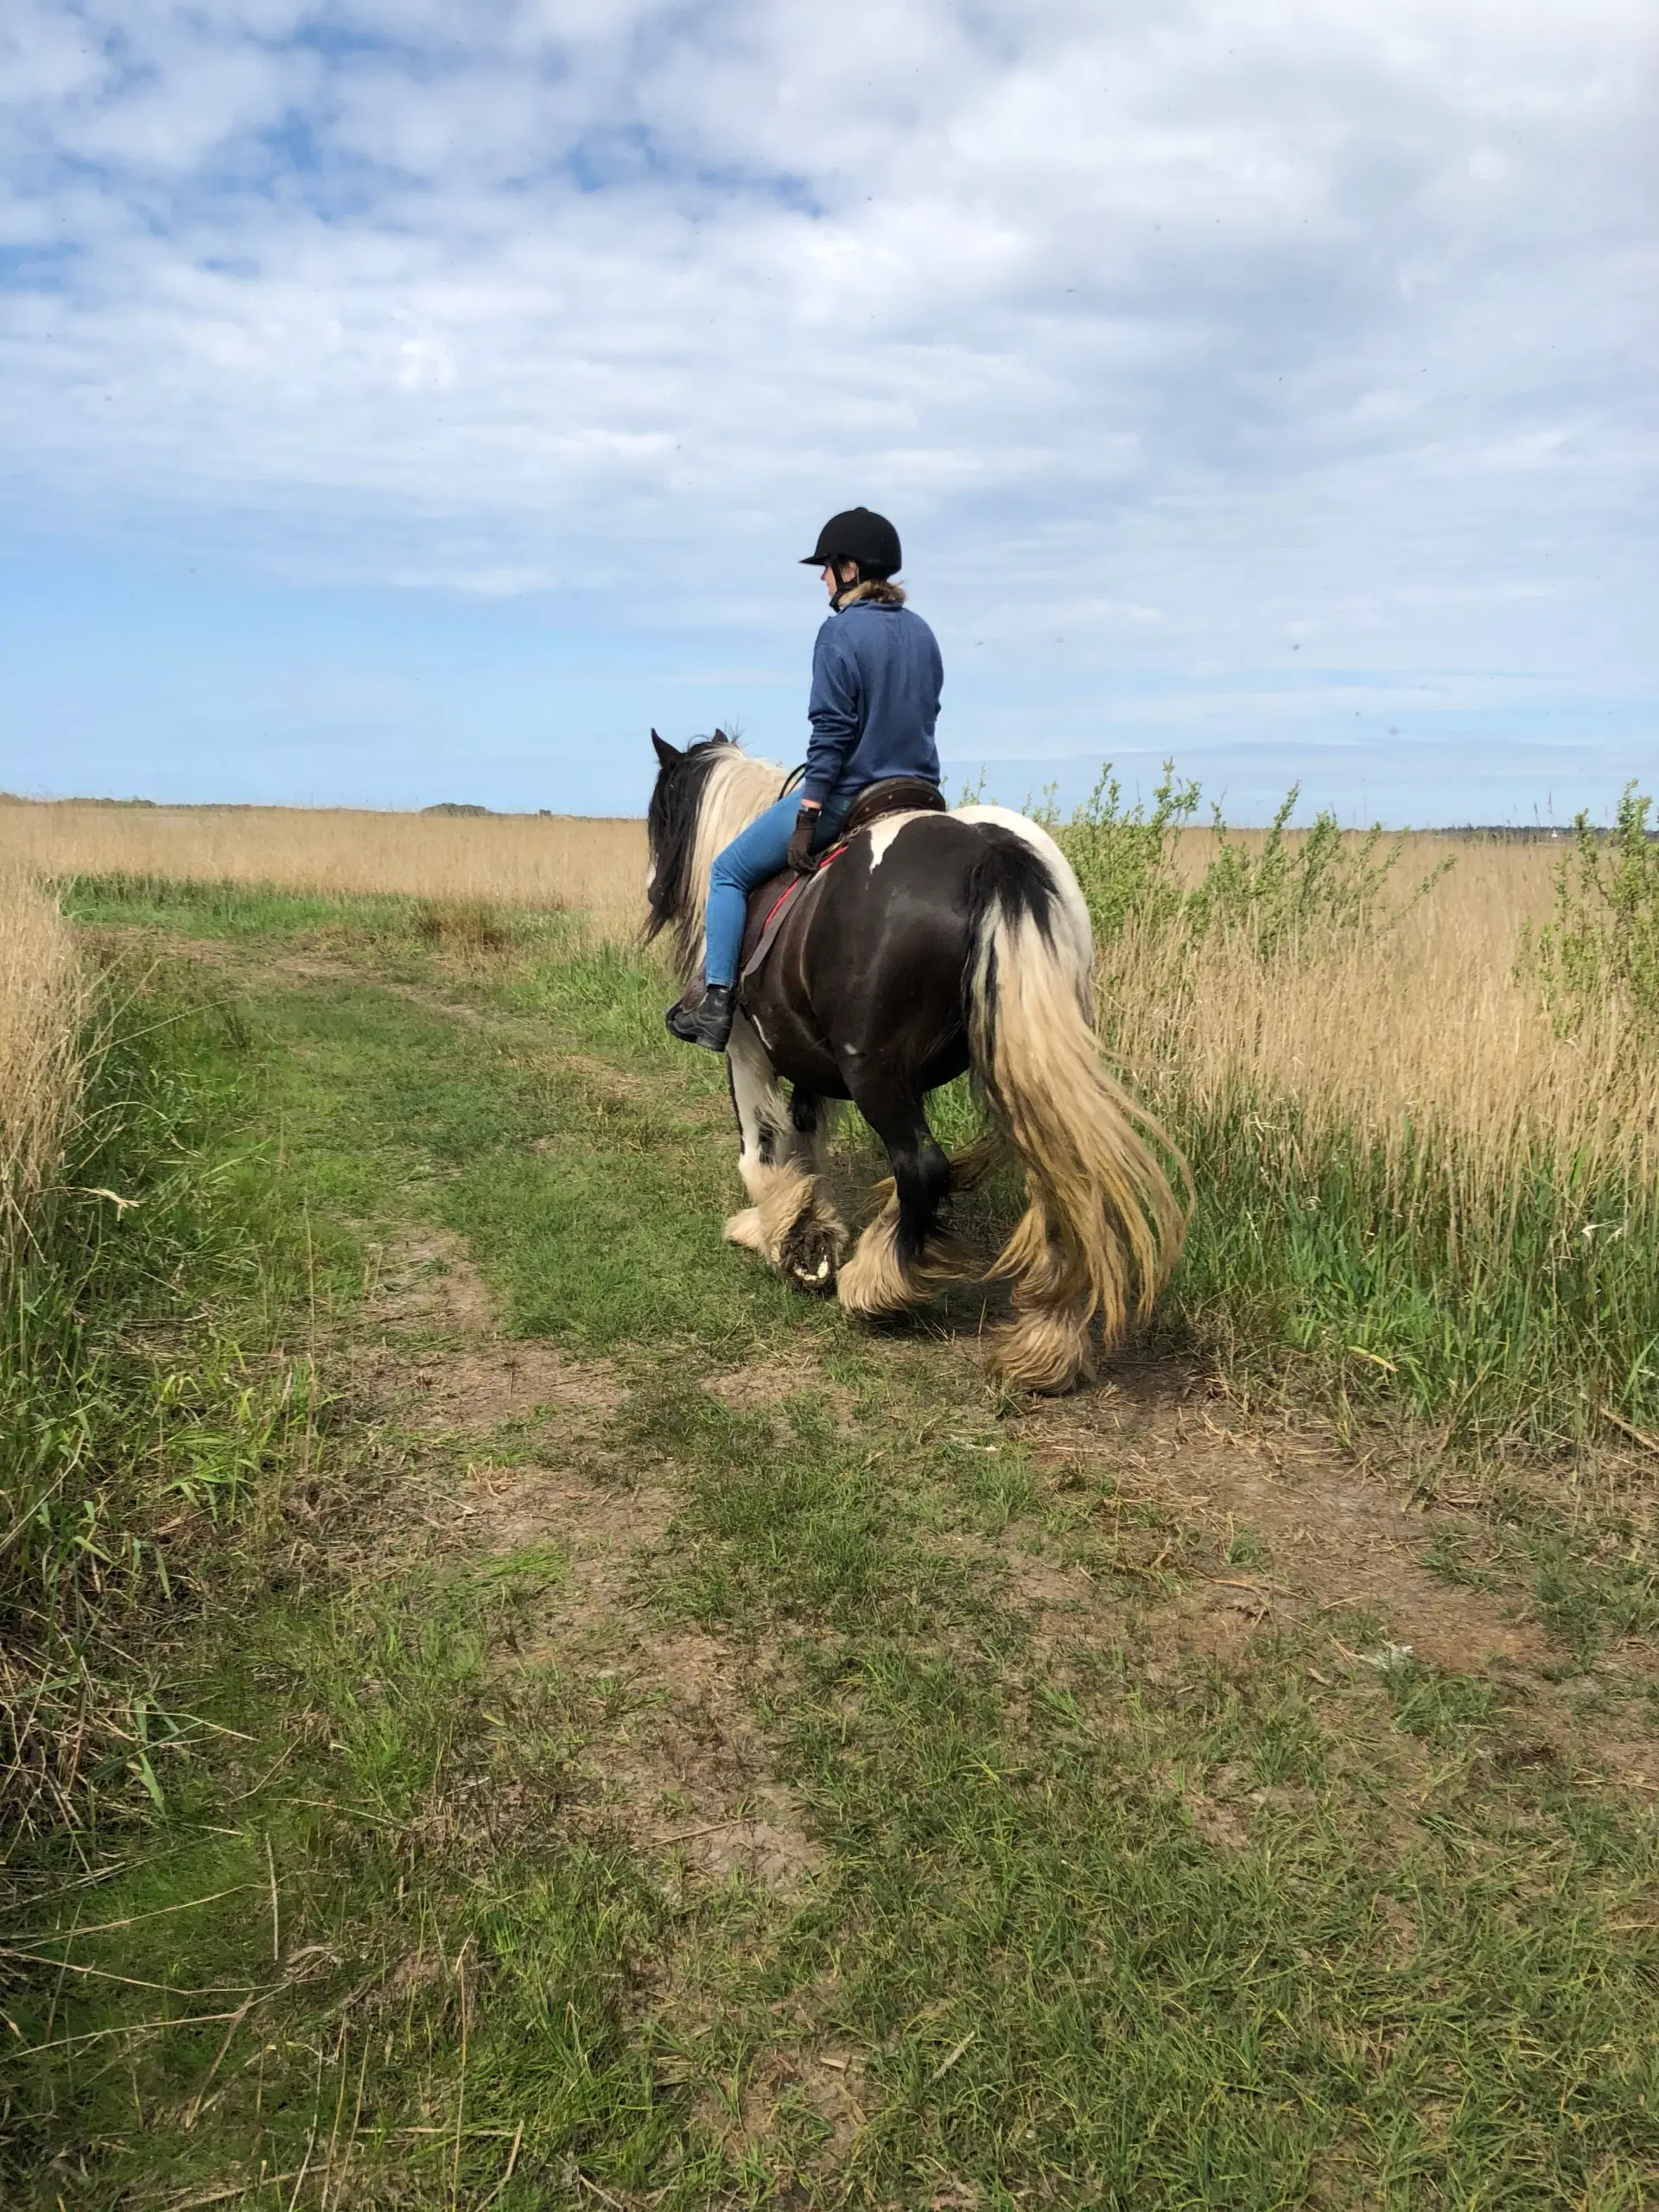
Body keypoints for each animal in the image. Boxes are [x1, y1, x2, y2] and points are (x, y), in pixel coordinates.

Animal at [641, 734, 1185, 1389]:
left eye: (660, 813)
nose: (651, 888)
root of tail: (991, 854)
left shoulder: (747, 1047)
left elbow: (762, 1152)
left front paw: (789, 1242)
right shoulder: (805, 1058)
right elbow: (805, 1138)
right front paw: (811, 1227)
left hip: (877, 1073)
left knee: (921, 1166)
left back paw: (878, 1286)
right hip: (1016, 1068)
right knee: (1058, 1182)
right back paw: (1044, 1342)